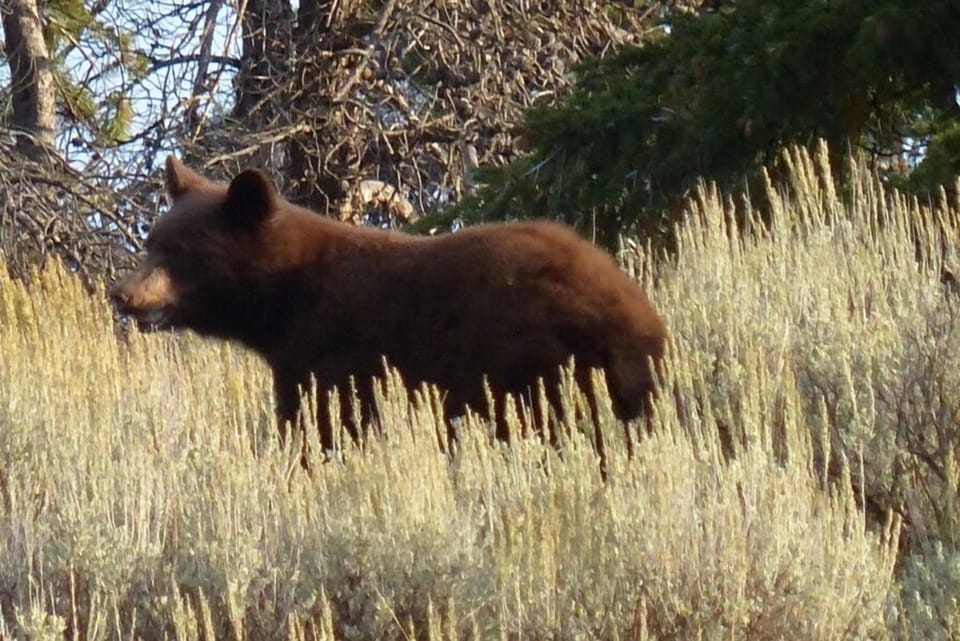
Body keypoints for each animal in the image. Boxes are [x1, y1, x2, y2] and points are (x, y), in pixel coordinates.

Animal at [110, 156, 668, 467]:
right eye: (152, 243)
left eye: (179, 252)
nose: (123, 293)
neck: (286, 297)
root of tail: (639, 317)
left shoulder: (329, 355)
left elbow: (322, 424)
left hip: (534, 365)